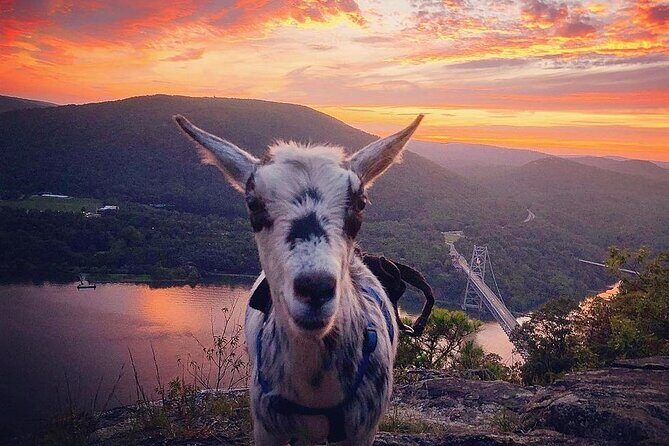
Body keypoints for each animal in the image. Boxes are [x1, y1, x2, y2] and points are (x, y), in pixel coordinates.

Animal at [174, 114, 423, 445]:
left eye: (360, 203)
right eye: (253, 203)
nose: (315, 288)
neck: (316, 396)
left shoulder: (364, 429)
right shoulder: (266, 425)